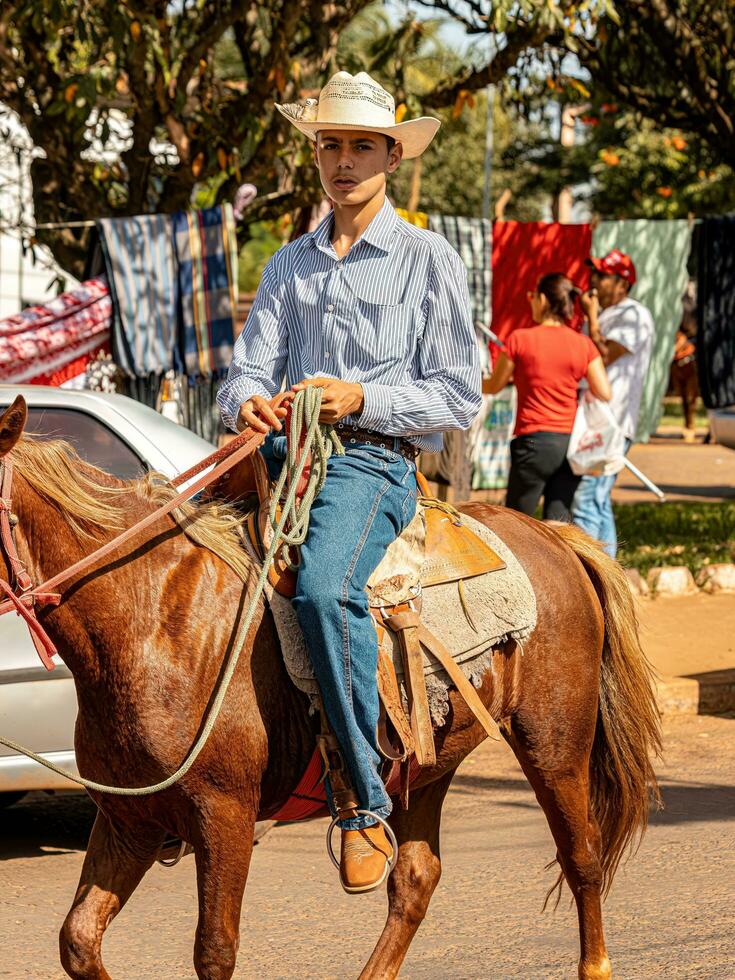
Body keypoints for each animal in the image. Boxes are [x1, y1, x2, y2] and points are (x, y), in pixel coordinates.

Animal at [0, 398, 660, 980]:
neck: (153, 621)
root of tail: (551, 534)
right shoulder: (127, 822)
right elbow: (78, 941)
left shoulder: (224, 817)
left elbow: (214, 949)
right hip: (426, 762)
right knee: (416, 878)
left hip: (555, 742)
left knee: (581, 857)